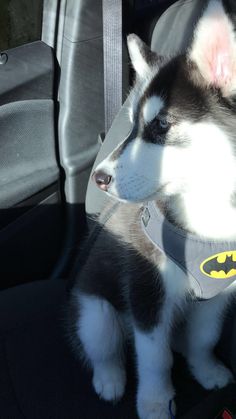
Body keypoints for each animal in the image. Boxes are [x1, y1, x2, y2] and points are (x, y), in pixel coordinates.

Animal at [68, 1, 236, 418]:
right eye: (132, 125)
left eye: (160, 124)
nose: (98, 178)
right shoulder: (145, 287)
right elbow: (155, 357)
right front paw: (157, 402)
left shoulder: (221, 292)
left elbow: (205, 337)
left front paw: (207, 369)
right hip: (95, 309)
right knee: (104, 345)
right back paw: (110, 379)